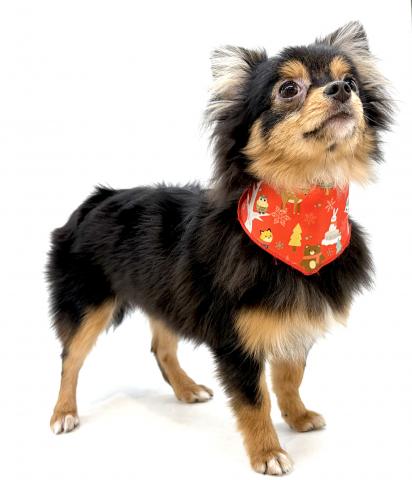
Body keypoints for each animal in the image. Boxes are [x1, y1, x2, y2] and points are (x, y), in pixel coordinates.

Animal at [47, 21, 392, 475]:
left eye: (351, 80)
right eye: (288, 89)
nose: (341, 89)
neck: (303, 211)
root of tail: (98, 198)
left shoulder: (294, 320)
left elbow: (289, 377)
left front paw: (297, 417)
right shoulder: (236, 340)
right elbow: (254, 400)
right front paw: (268, 452)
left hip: (166, 297)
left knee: (161, 347)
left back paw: (185, 388)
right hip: (88, 304)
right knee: (70, 358)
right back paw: (63, 412)